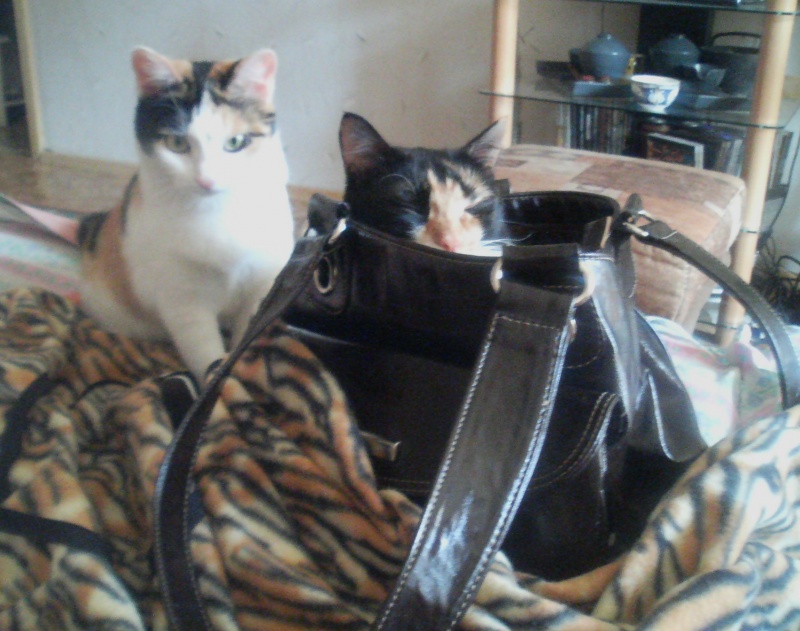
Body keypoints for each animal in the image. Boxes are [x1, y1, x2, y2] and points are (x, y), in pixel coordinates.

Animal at [78, 46, 295, 380]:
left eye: (235, 142)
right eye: (177, 143)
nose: (207, 180)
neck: (218, 214)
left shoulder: (263, 287)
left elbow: (246, 335)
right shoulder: (183, 304)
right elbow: (205, 354)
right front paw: (215, 381)